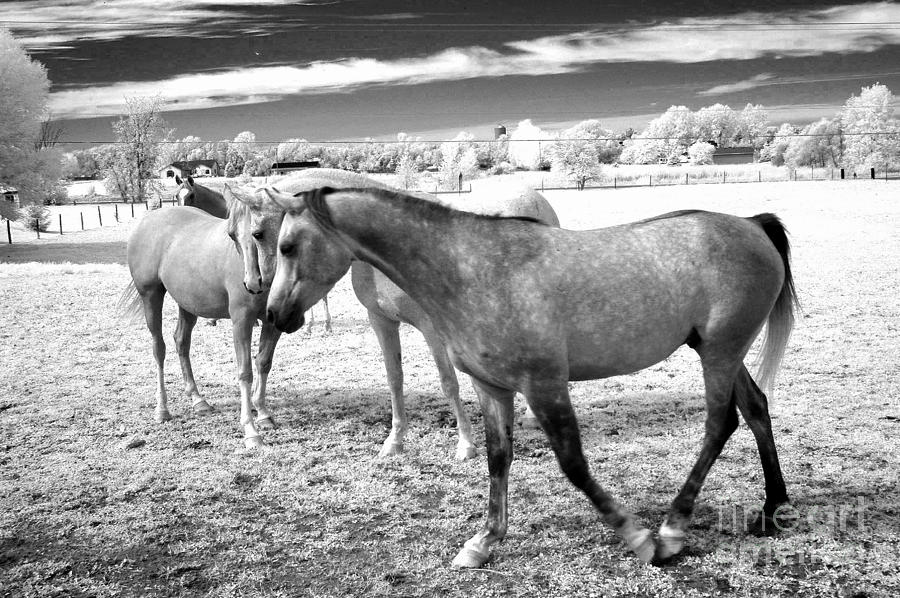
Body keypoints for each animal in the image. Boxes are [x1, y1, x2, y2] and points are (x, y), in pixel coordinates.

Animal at [119, 195, 280, 448]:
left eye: (258, 233)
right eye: (232, 234)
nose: (253, 283)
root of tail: (147, 219)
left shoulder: (273, 323)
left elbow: (263, 363)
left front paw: (263, 414)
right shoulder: (241, 321)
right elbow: (245, 371)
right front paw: (251, 432)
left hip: (187, 304)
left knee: (181, 342)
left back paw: (198, 400)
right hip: (151, 296)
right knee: (159, 348)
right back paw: (162, 409)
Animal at [229, 171, 560, 462]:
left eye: (261, 236)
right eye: (238, 236)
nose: (267, 301)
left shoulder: (431, 328)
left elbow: (448, 382)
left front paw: (466, 445)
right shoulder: (381, 320)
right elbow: (394, 378)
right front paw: (395, 441)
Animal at [264, 188, 800, 572]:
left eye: (286, 246)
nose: (273, 314)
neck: (471, 271)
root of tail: (751, 225)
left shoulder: (543, 386)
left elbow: (573, 465)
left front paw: (638, 538)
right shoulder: (492, 388)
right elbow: (498, 460)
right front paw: (484, 542)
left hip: (720, 353)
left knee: (719, 424)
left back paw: (671, 530)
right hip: (719, 352)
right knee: (756, 409)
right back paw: (772, 508)